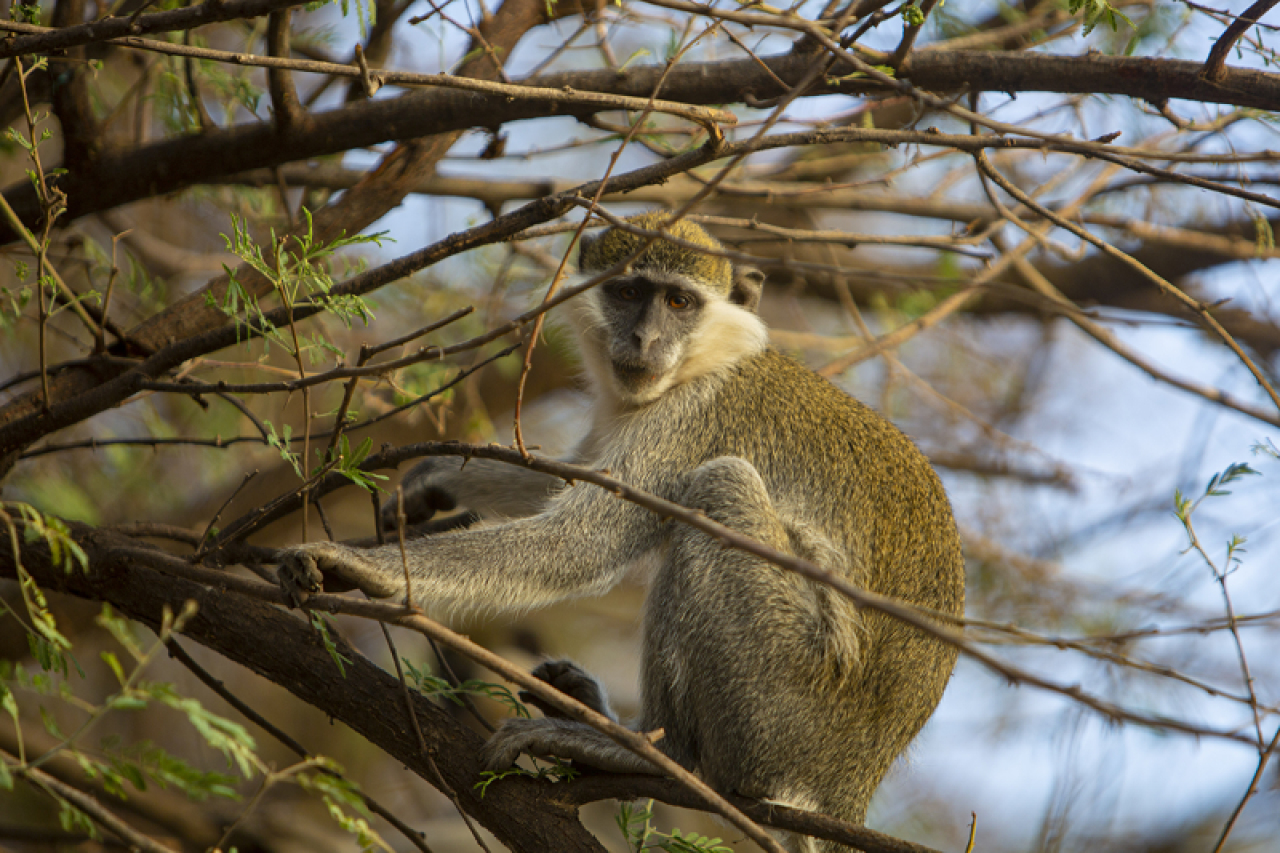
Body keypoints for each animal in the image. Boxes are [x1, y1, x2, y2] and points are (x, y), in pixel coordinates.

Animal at [277, 208, 962, 845]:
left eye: (680, 302)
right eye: (629, 292)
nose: (645, 337)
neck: (705, 361)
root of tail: (851, 783)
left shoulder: (687, 421)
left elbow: (579, 543)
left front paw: (357, 565)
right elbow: (572, 477)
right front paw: (438, 479)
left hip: (789, 704)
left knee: (720, 489)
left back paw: (656, 755)